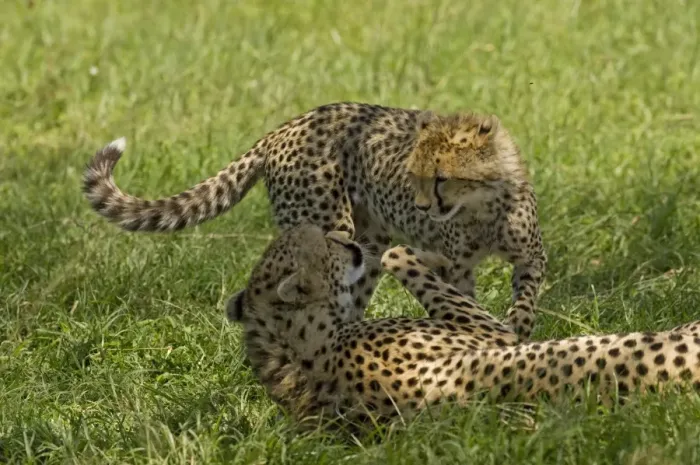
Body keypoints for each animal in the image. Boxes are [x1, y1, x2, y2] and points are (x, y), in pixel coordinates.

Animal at [83, 102, 546, 340]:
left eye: (441, 178)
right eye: (413, 175)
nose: (423, 207)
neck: (484, 206)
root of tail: (285, 127)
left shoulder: (530, 258)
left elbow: (525, 296)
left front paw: (517, 326)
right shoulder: (457, 266)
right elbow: (464, 297)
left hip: (368, 246)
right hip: (330, 229)